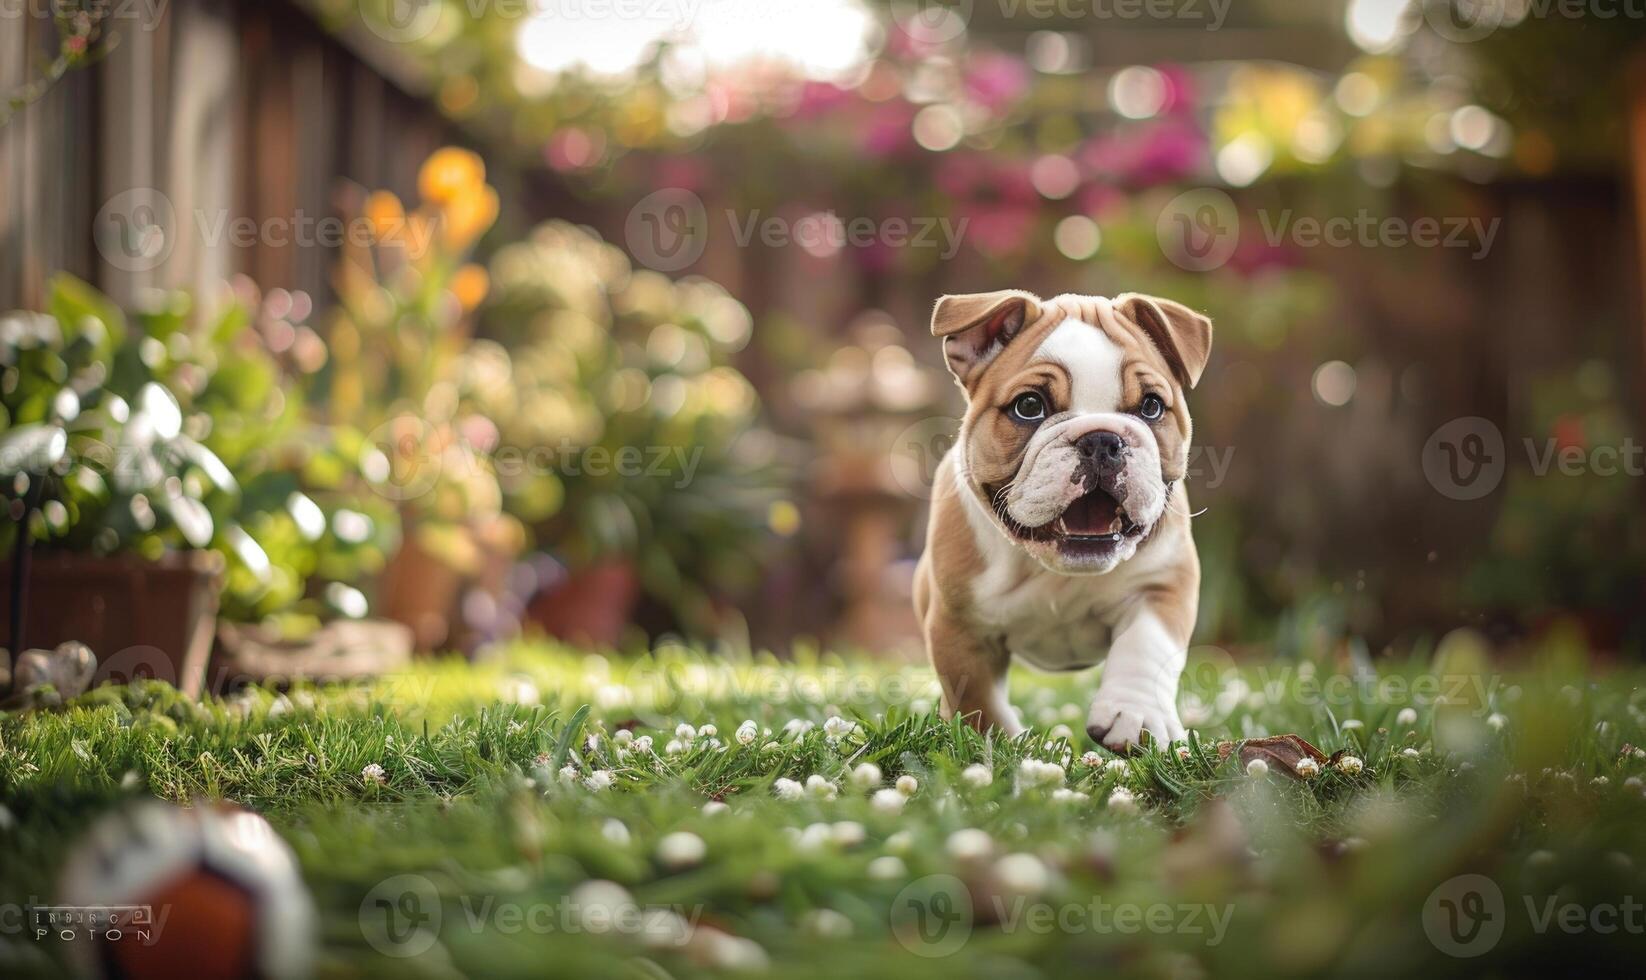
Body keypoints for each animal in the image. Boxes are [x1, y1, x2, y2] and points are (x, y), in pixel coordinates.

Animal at [915, 289, 1211, 751]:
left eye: (1151, 406)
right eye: (1029, 406)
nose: (1102, 439)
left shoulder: (1163, 584)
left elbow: (1146, 649)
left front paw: (1135, 715)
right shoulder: (959, 627)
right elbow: (979, 701)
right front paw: (1003, 743)